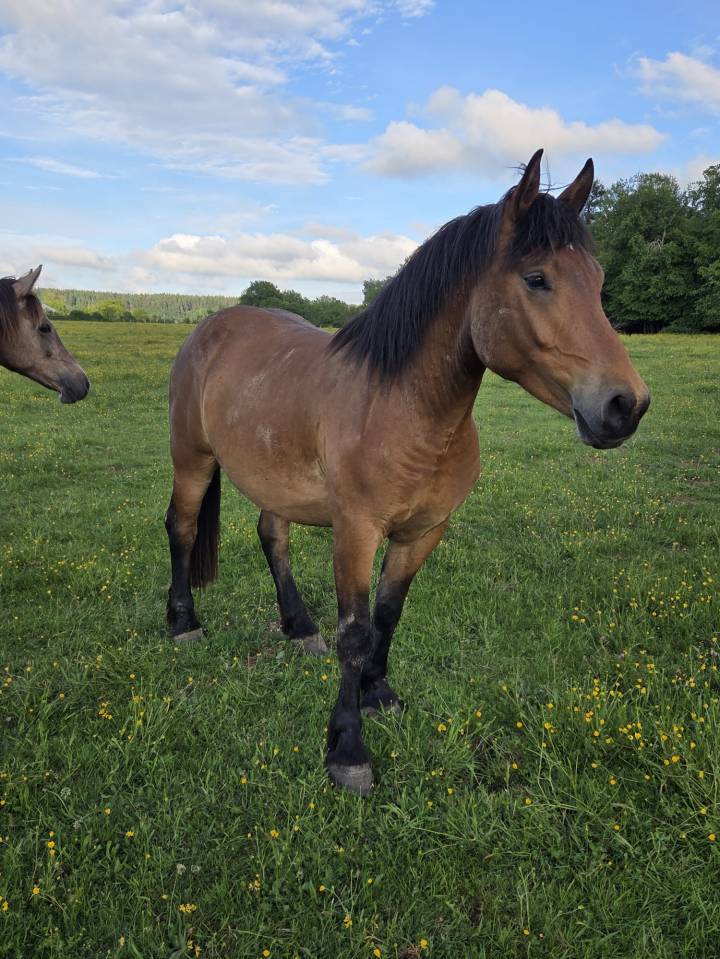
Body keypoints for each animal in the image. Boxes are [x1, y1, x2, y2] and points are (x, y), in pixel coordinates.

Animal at [165, 149, 650, 795]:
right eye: (537, 279)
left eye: (596, 281)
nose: (627, 405)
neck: (403, 409)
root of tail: (210, 326)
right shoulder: (356, 532)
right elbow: (354, 633)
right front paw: (348, 749)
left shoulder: (423, 533)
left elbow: (387, 616)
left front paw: (379, 695)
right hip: (192, 460)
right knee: (182, 528)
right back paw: (183, 623)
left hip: (275, 478)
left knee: (272, 537)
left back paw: (298, 626)